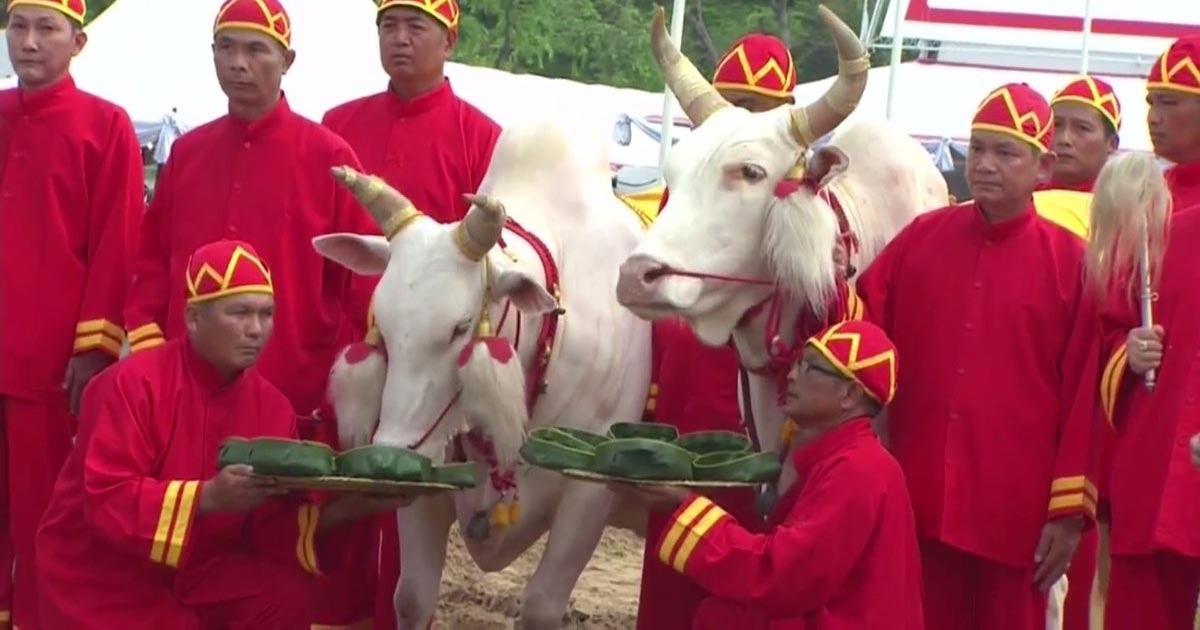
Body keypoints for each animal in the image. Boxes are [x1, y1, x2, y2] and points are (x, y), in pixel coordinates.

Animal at [312, 116, 652, 630]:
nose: (390, 455)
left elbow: (541, 605)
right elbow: (412, 596)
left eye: (460, 327)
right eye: (382, 325)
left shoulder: (588, 497)